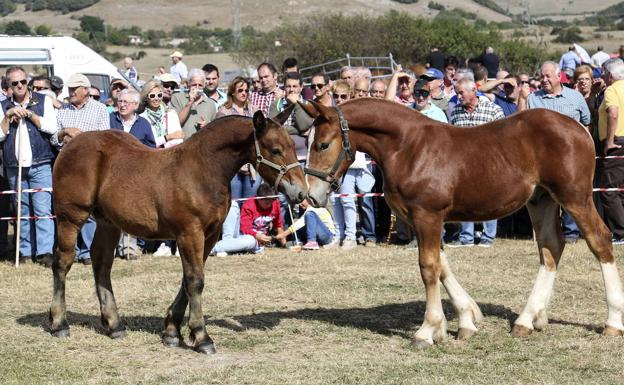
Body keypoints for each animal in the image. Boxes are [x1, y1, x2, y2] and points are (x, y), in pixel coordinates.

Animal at [47, 109, 306, 354]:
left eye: (293, 146)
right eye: (275, 150)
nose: (301, 193)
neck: (202, 170)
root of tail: (71, 143)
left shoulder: (209, 235)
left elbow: (188, 279)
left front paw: (172, 331)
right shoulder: (189, 233)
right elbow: (195, 281)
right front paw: (201, 337)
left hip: (108, 222)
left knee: (101, 263)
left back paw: (114, 325)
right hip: (71, 217)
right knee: (63, 261)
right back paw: (59, 323)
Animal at [302, 97, 624, 346]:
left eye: (323, 145)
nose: (311, 196)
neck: (408, 147)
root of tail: (579, 128)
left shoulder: (427, 214)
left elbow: (428, 267)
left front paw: (427, 331)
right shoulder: (424, 219)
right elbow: (442, 264)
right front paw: (465, 321)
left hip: (575, 197)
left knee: (600, 240)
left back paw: (612, 321)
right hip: (541, 199)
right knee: (550, 248)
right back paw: (527, 320)